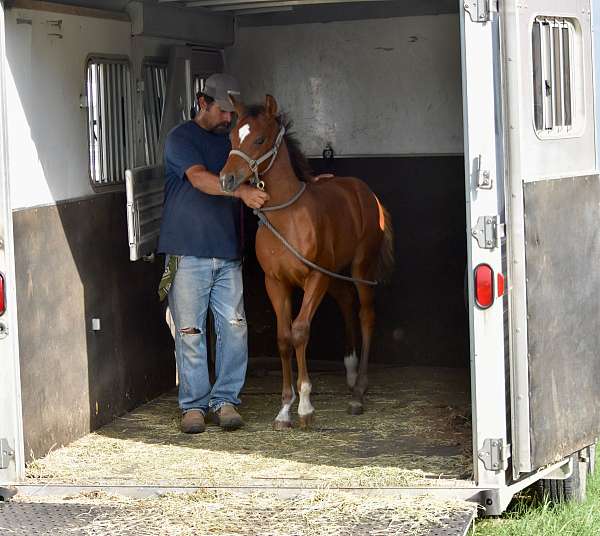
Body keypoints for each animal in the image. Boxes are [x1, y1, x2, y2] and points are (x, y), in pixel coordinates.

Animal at [220, 93, 394, 428]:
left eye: (259, 139)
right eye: (233, 136)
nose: (226, 179)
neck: (287, 217)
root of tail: (365, 193)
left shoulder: (315, 278)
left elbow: (300, 331)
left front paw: (304, 406)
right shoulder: (276, 282)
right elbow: (283, 337)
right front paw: (284, 409)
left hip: (358, 267)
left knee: (366, 313)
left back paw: (359, 392)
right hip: (334, 274)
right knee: (346, 301)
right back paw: (350, 373)